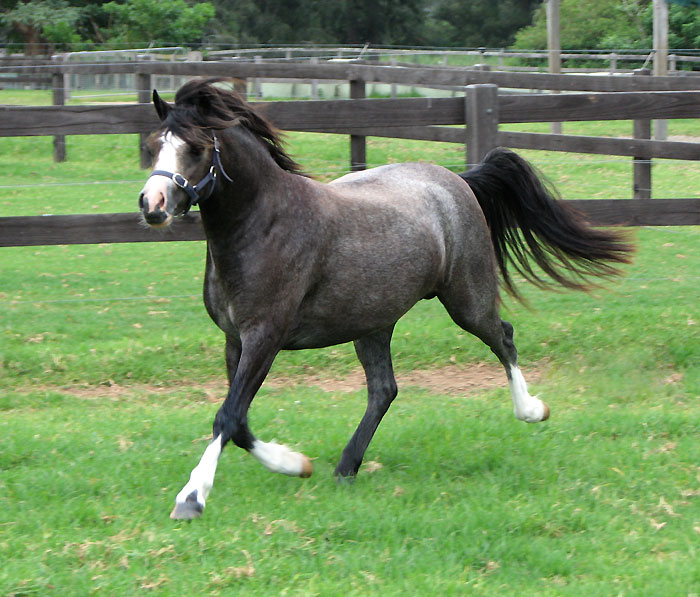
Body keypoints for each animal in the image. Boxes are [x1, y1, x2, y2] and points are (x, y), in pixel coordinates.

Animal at [138, 79, 632, 519]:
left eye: (196, 148)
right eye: (153, 145)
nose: (152, 204)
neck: (266, 223)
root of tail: (457, 180)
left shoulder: (265, 337)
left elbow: (228, 416)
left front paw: (192, 498)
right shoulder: (235, 339)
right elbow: (238, 422)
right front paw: (297, 464)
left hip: (466, 301)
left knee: (503, 337)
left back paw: (532, 410)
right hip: (372, 322)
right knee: (384, 390)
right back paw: (345, 467)